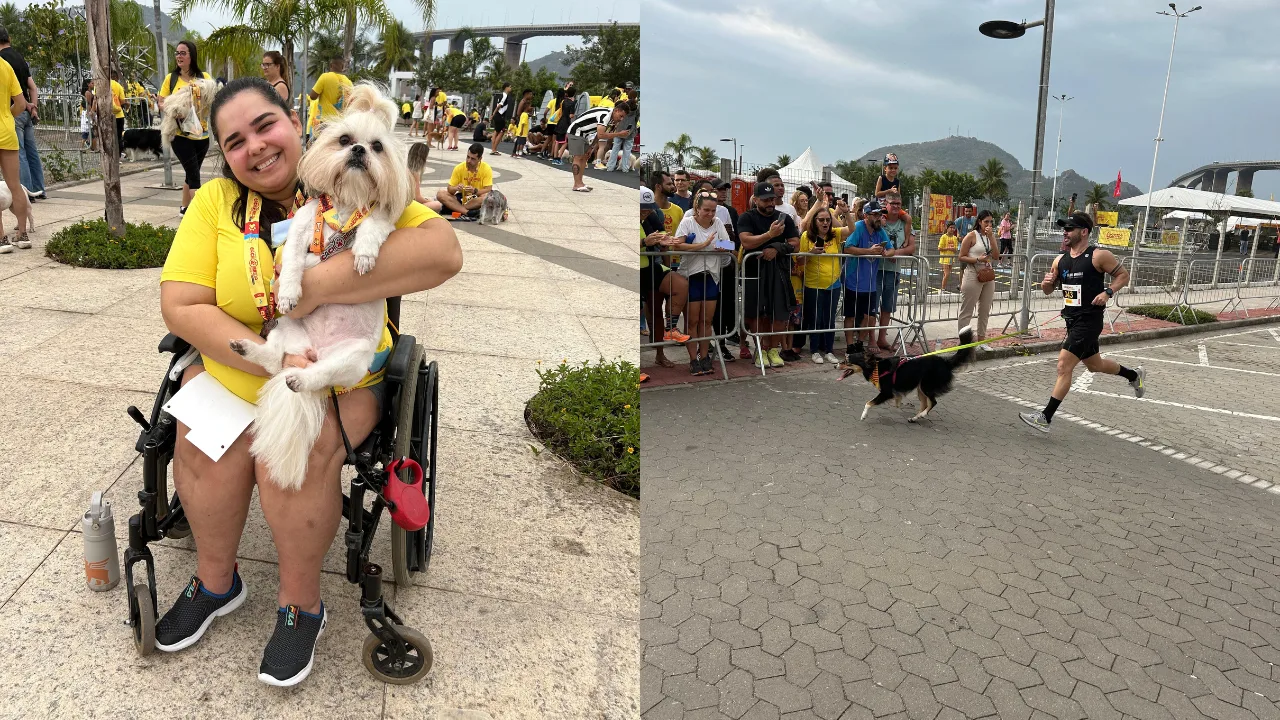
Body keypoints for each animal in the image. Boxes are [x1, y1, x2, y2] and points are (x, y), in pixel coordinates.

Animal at [227, 82, 409, 486]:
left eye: (377, 146)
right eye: (344, 140)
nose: (358, 150)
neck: (346, 206)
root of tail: (313, 351)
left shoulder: (381, 220)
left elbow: (372, 229)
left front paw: (363, 255)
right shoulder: (301, 227)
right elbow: (295, 260)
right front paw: (291, 291)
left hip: (352, 360)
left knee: (316, 375)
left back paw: (301, 381)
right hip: (284, 331)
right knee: (273, 360)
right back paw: (247, 349)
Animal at [844, 325, 972, 420]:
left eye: (847, 361)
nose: (838, 364)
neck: (876, 367)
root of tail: (945, 362)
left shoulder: (886, 393)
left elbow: (868, 403)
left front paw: (863, 415)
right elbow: (896, 401)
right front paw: (900, 404)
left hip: (926, 386)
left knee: (933, 402)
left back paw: (922, 414)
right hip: (920, 388)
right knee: (925, 404)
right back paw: (915, 418)